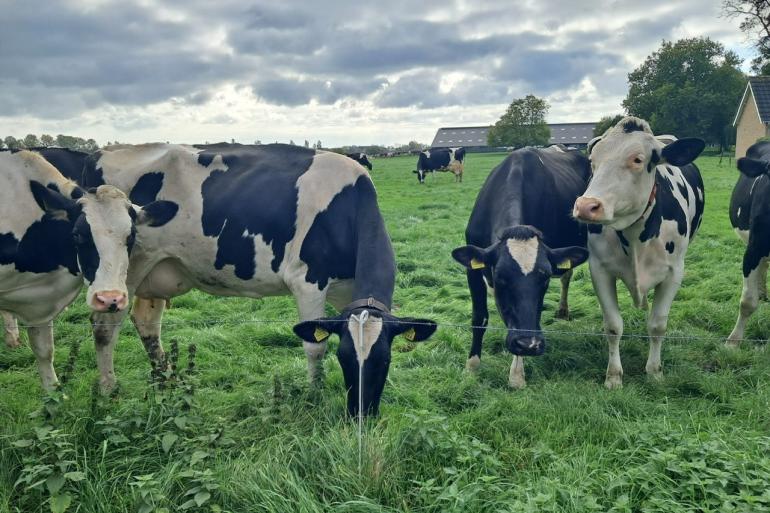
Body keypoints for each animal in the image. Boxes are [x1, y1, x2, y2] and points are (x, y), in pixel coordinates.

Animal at [0, 149, 176, 389]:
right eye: (76, 235)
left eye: (131, 236)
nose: (110, 299)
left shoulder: (39, 305)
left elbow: (44, 351)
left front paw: (53, 393)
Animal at [81, 143, 437, 416]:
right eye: (344, 358)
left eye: (384, 360)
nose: (361, 414)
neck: (347, 207)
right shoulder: (307, 281)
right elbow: (314, 347)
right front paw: (315, 395)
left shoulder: (346, 292)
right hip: (121, 272)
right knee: (105, 327)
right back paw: (109, 391)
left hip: (157, 269)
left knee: (146, 321)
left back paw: (165, 379)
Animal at [451, 146, 590, 388]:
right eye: (500, 277)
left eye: (545, 278)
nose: (529, 344)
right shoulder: (473, 269)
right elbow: (479, 317)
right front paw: (472, 367)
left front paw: (516, 376)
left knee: (566, 276)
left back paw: (563, 310)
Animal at [573, 117, 705, 388]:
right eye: (593, 161)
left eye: (637, 159)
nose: (586, 206)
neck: (635, 235)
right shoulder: (599, 270)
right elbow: (613, 326)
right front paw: (613, 377)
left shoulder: (674, 273)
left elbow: (657, 326)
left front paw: (654, 372)